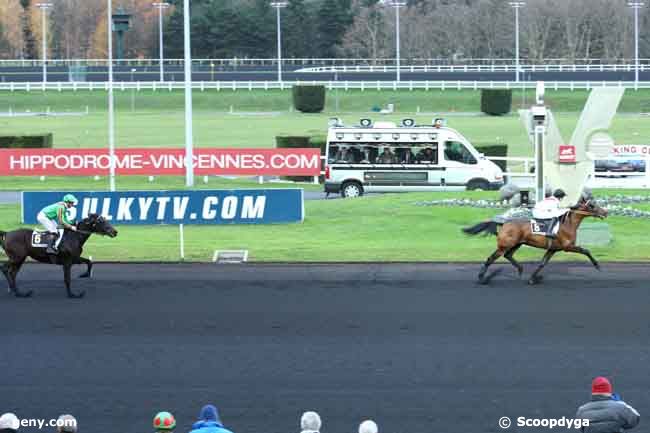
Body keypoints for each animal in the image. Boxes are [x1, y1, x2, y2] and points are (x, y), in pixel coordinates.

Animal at [460, 198, 608, 286]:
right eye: (592, 205)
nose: (605, 212)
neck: (567, 224)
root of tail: (503, 223)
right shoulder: (567, 246)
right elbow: (586, 250)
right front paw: (597, 266)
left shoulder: (553, 249)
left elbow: (542, 263)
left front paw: (532, 278)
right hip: (504, 245)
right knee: (491, 258)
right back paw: (481, 278)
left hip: (517, 244)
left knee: (508, 255)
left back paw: (520, 269)